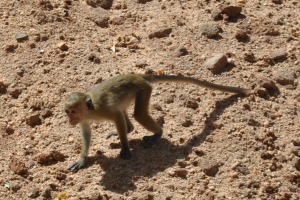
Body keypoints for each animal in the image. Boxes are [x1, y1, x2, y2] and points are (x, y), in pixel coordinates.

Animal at [65, 73, 251, 170]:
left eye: (73, 112)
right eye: (67, 112)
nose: (70, 120)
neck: (91, 110)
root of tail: (138, 76)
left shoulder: (104, 109)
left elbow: (117, 115)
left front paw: (125, 148)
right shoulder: (84, 120)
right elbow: (86, 133)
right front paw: (82, 159)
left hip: (143, 89)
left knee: (138, 114)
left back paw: (157, 134)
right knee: (127, 113)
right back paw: (129, 129)